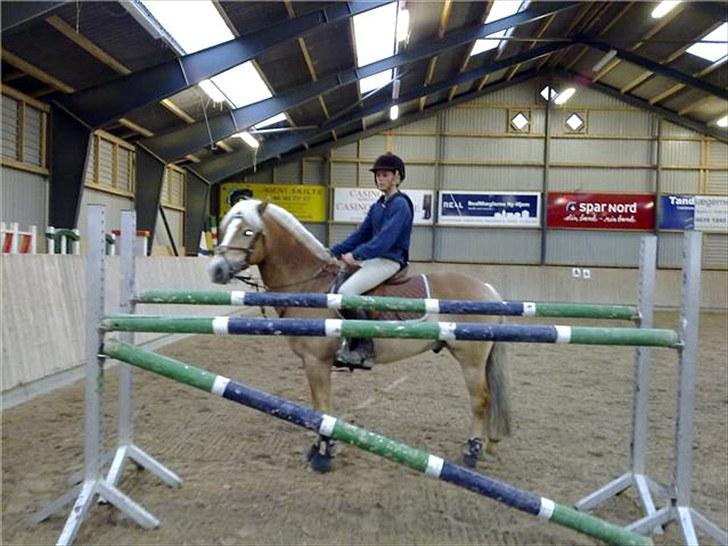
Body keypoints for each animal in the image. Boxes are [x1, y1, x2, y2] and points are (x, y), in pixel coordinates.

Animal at [208, 198, 510, 470]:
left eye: (248, 231)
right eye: (223, 229)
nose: (216, 270)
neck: (311, 284)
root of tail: (486, 288)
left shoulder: (316, 362)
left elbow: (322, 409)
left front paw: (323, 455)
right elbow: (318, 409)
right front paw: (318, 450)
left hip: (470, 360)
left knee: (480, 401)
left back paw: (471, 453)